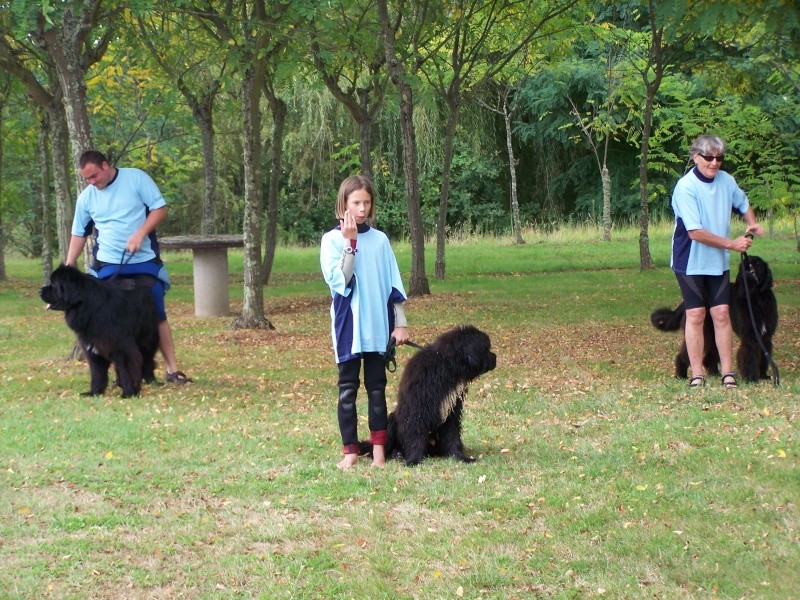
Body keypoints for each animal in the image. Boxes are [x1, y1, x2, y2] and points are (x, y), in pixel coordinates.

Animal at [39, 264, 159, 396]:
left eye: (54, 284)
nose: (39, 291)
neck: (90, 309)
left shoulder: (123, 347)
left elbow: (128, 368)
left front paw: (129, 392)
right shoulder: (92, 346)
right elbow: (97, 372)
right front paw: (94, 392)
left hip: (147, 338)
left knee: (147, 359)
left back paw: (151, 380)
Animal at [360, 326, 494, 466]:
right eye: (486, 348)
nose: (495, 358)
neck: (447, 364)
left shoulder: (451, 410)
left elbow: (452, 435)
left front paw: (460, 457)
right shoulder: (417, 409)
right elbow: (416, 434)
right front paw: (414, 460)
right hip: (391, 420)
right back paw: (396, 454)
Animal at [648, 255, 776, 382]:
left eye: (758, 263)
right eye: (744, 262)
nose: (747, 261)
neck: (756, 297)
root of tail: (686, 303)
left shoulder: (765, 337)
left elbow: (764, 356)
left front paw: (763, 376)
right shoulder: (750, 337)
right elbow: (750, 356)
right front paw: (751, 378)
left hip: (714, 333)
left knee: (709, 357)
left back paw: (715, 373)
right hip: (701, 331)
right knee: (684, 355)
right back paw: (681, 376)